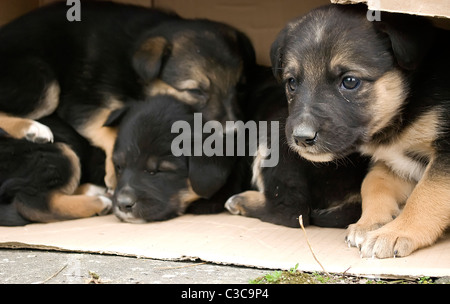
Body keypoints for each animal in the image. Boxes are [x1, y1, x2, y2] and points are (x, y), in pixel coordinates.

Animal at [0, 2, 255, 191]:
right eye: (195, 91)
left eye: (241, 87)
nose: (236, 134)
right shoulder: (80, 103)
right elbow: (111, 128)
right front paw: (115, 174)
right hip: (44, 83)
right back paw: (32, 129)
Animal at [270, 3, 450, 258]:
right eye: (292, 83)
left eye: (350, 81)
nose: (302, 138)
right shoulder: (395, 162)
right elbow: (372, 182)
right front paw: (370, 223)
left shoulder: (445, 155)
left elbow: (427, 193)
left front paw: (396, 232)